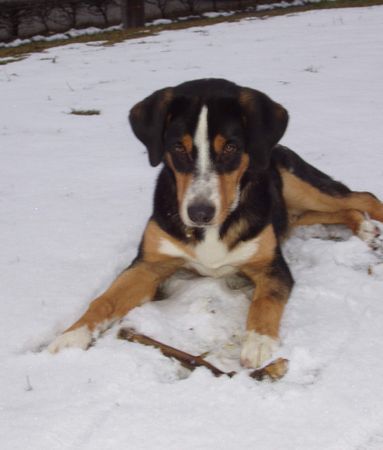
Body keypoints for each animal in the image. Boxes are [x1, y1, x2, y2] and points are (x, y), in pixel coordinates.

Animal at [48, 79, 383, 368]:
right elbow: (104, 299)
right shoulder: (148, 264)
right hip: (295, 208)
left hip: (299, 183)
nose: (200, 213)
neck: (213, 230)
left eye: (232, 147)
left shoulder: (272, 267)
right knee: (341, 210)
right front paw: (72, 335)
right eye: (178, 147)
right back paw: (364, 227)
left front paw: (258, 342)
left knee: (364, 197)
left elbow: (264, 301)